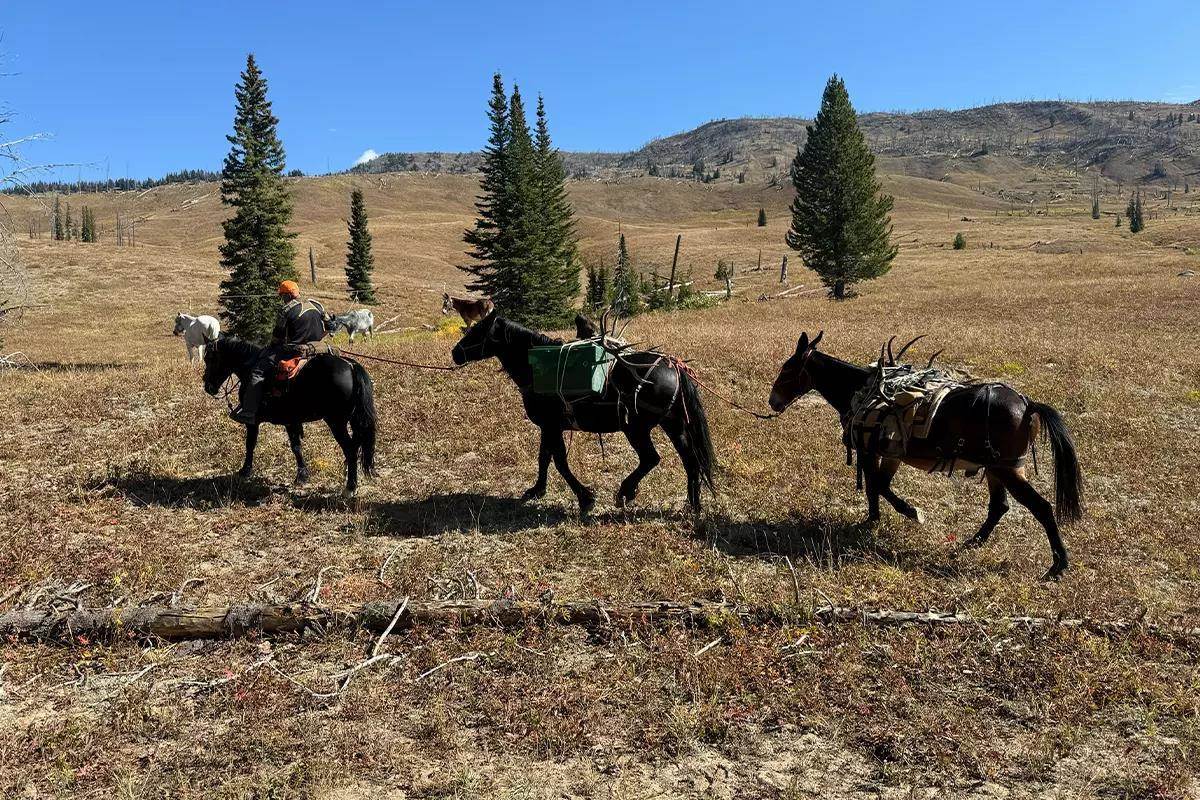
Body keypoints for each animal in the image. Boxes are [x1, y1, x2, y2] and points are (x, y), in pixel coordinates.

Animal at [200, 335, 377, 496]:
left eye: (210, 358)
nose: (208, 387)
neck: (248, 366)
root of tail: (351, 366)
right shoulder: (291, 421)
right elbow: (296, 447)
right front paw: (302, 476)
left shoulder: (253, 421)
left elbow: (250, 444)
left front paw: (245, 470)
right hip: (353, 421)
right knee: (357, 446)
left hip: (336, 422)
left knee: (350, 449)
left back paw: (350, 488)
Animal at [450, 311, 715, 516]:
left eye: (477, 332)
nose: (456, 352)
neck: (537, 368)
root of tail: (675, 368)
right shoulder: (549, 427)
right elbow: (544, 458)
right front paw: (537, 490)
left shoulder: (551, 425)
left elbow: (559, 462)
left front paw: (585, 498)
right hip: (674, 426)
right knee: (691, 460)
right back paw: (693, 506)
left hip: (636, 429)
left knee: (651, 458)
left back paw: (625, 492)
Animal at [768, 331, 1082, 579]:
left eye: (787, 369)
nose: (773, 402)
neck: (863, 391)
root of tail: (1028, 404)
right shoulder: (890, 454)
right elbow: (877, 486)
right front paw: (873, 520)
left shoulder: (871, 451)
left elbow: (876, 486)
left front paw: (908, 513)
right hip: (997, 469)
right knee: (999, 507)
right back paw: (972, 543)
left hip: (1007, 470)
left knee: (1041, 508)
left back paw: (1058, 565)